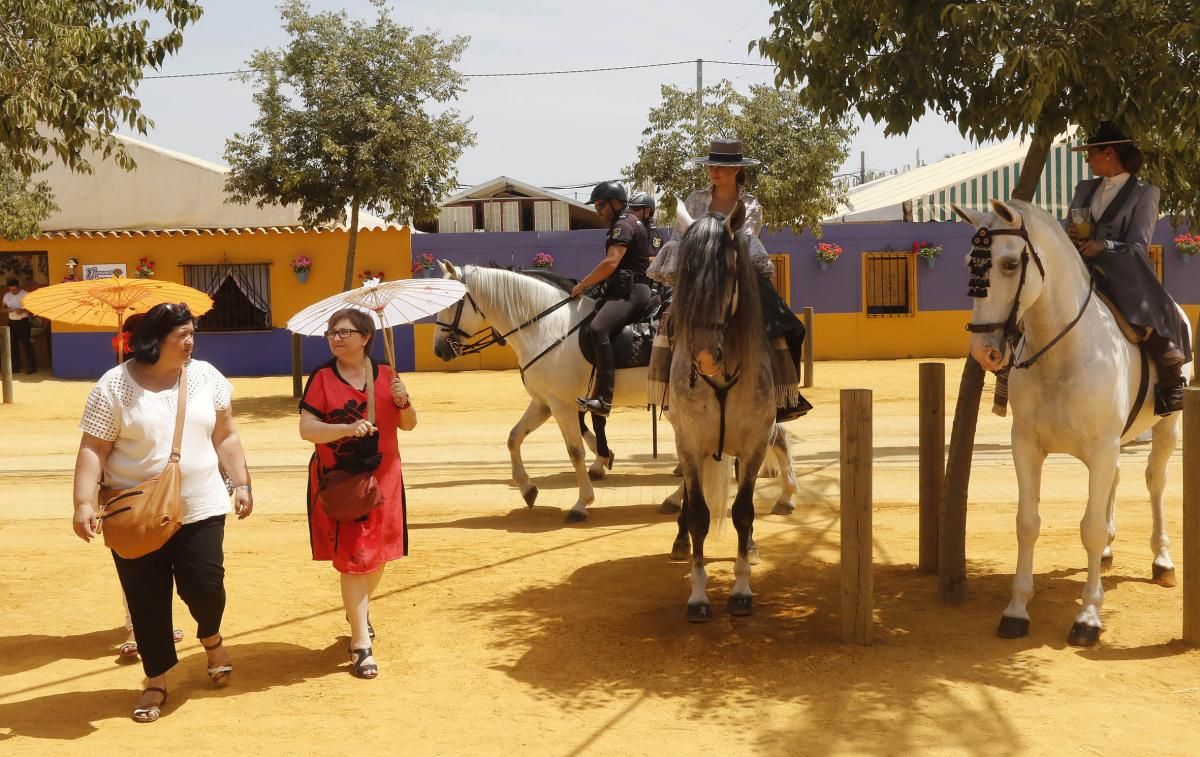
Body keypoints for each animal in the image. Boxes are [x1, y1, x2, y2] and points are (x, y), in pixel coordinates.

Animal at [432, 263, 796, 523]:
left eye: (452, 302)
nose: (439, 350)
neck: (548, 327)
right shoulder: (544, 403)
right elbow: (513, 438)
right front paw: (528, 489)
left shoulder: (562, 406)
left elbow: (575, 451)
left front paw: (582, 503)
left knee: (761, 438)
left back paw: (781, 494)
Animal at [955, 197, 1190, 647]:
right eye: (969, 265)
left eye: (1009, 264)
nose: (983, 352)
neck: (1062, 352)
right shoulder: (1027, 445)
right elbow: (1027, 523)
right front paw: (1016, 610)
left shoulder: (1101, 447)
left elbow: (1091, 527)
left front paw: (1088, 618)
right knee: (1116, 481)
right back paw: (1110, 554)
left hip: (1166, 427)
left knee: (1155, 482)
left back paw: (1162, 561)